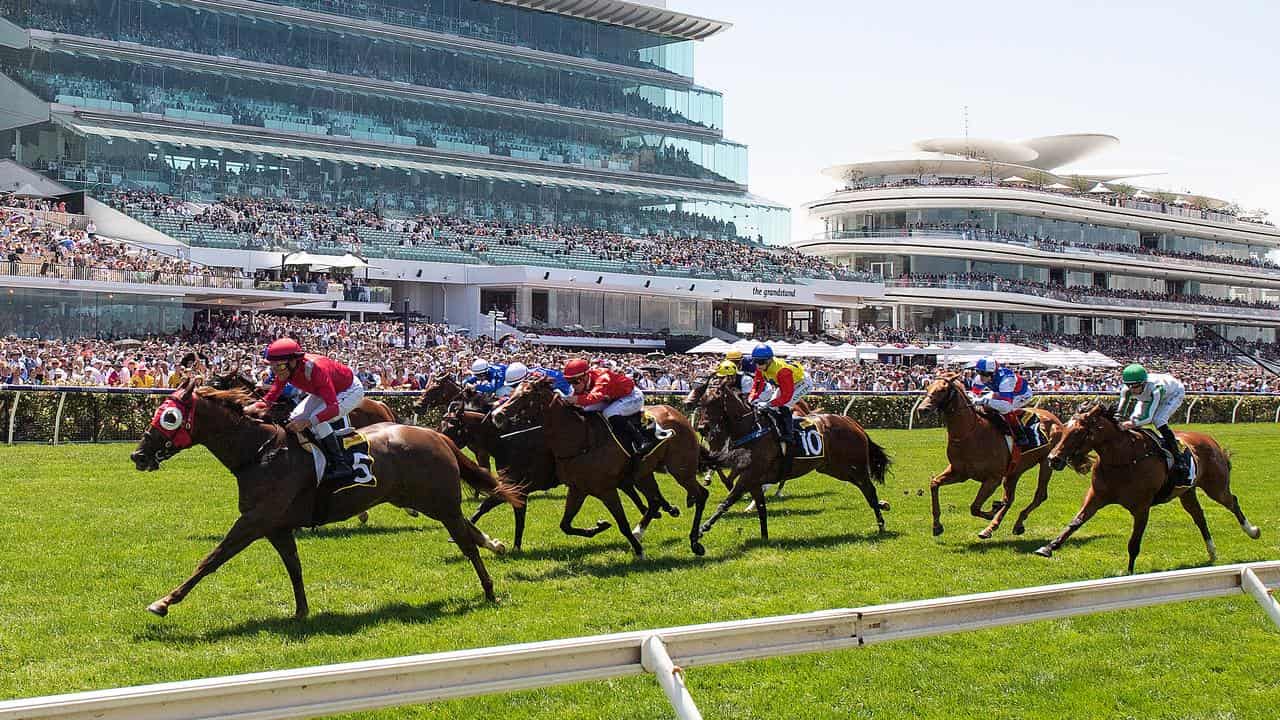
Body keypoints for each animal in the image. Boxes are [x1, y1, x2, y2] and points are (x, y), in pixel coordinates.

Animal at [131, 379, 524, 614]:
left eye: (168, 417)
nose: (138, 455)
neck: (259, 453)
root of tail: (435, 435)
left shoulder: (254, 521)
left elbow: (211, 559)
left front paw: (164, 601)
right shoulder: (276, 526)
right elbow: (294, 567)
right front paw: (301, 611)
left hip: (439, 503)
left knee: (466, 541)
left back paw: (489, 589)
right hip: (424, 501)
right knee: (468, 530)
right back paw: (497, 547)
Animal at [488, 376, 711, 556]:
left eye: (525, 395)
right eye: (511, 392)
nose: (497, 415)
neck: (580, 439)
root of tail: (677, 413)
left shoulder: (606, 489)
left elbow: (622, 523)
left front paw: (638, 551)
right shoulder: (578, 489)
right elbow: (565, 525)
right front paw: (600, 527)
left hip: (681, 469)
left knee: (700, 495)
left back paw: (695, 542)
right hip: (644, 473)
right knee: (655, 501)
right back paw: (643, 530)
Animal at [691, 376, 890, 538]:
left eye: (715, 402)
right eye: (701, 403)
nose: (702, 428)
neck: (752, 428)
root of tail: (853, 423)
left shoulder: (749, 475)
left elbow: (727, 501)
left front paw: (702, 529)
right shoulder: (753, 479)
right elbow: (761, 509)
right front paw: (764, 538)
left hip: (855, 467)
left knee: (869, 490)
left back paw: (881, 522)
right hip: (835, 468)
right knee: (865, 488)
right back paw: (882, 507)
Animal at [916, 371, 1064, 535]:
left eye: (942, 389)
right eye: (927, 387)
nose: (922, 409)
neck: (969, 433)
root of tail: (1055, 419)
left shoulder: (993, 479)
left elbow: (974, 507)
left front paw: (993, 510)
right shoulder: (959, 472)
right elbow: (934, 483)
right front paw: (937, 526)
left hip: (1046, 463)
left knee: (1039, 495)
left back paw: (1009, 523)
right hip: (1015, 470)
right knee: (1010, 498)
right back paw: (995, 527)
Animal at [1039, 397, 1259, 571]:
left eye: (1077, 432)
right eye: (1064, 428)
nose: (1053, 459)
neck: (1123, 459)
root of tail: (1211, 440)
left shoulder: (1142, 507)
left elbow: (1134, 543)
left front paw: (1129, 574)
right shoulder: (1096, 496)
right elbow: (1076, 522)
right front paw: (1049, 547)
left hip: (1216, 487)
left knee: (1232, 501)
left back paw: (1252, 531)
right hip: (1187, 492)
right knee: (1199, 516)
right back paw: (1212, 552)